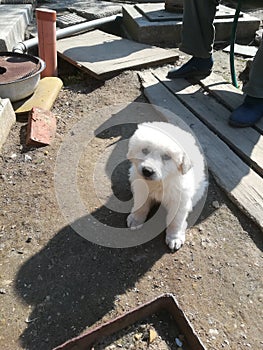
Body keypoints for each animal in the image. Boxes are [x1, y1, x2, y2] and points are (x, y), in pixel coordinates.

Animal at [127, 121, 207, 250]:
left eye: (167, 157)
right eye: (145, 150)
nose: (147, 171)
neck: (160, 182)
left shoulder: (179, 200)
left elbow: (176, 221)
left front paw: (174, 237)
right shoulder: (140, 188)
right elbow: (141, 205)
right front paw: (136, 219)